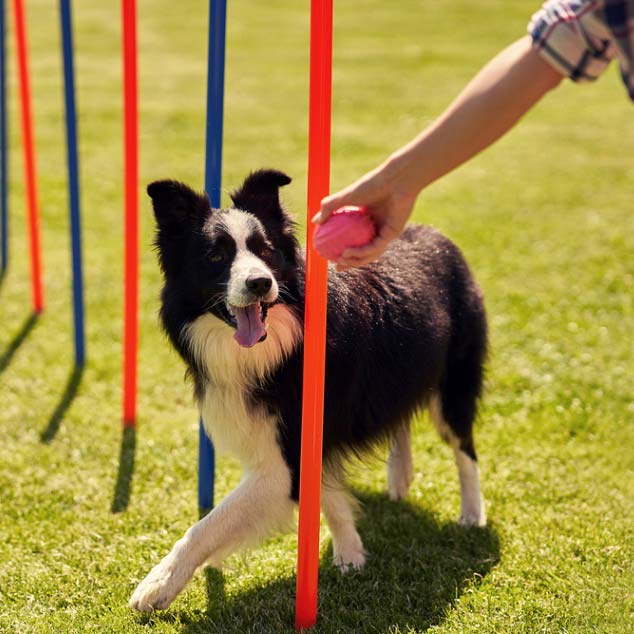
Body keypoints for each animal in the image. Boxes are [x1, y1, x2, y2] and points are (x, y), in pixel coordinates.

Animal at [128, 169, 484, 612]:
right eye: (215, 257)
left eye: (265, 251)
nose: (260, 282)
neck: (275, 349)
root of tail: (435, 234)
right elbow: (327, 494)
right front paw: (350, 552)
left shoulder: (284, 460)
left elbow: (209, 525)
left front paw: (156, 584)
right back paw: (400, 477)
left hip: (455, 380)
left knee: (464, 447)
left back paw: (472, 513)